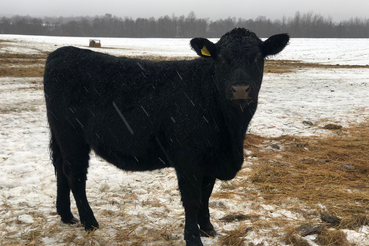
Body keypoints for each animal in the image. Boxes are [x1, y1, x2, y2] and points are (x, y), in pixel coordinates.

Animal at [43, 27, 288, 245]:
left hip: (60, 135)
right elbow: (192, 199)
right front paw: (193, 238)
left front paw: (208, 229)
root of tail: (62, 52)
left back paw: (67, 215)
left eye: (257, 57)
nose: (239, 89)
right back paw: (89, 222)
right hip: (71, 136)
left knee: (60, 168)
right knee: (75, 175)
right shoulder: (188, 157)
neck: (231, 136)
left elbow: (207, 194)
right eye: (221, 58)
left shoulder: (210, 160)